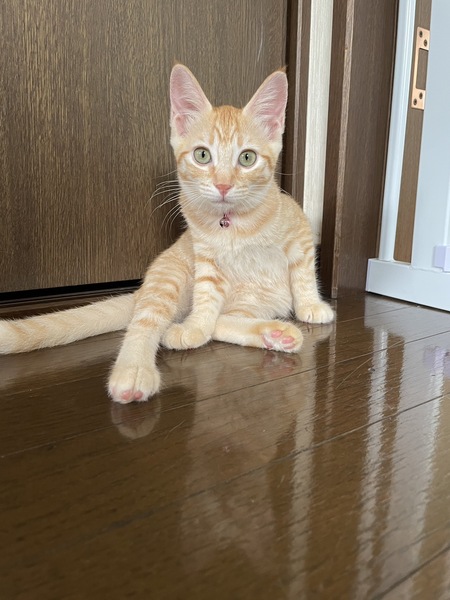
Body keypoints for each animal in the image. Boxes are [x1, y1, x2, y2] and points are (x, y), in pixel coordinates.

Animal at [0, 64, 334, 403]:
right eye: (202, 155)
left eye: (247, 158)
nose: (223, 185)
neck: (235, 225)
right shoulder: (205, 258)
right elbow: (206, 299)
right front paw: (197, 325)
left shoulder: (301, 232)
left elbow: (304, 274)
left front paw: (311, 306)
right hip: (169, 277)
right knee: (150, 321)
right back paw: (138, 367)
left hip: (252, 299)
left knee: (224, 320)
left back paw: (272, 333)